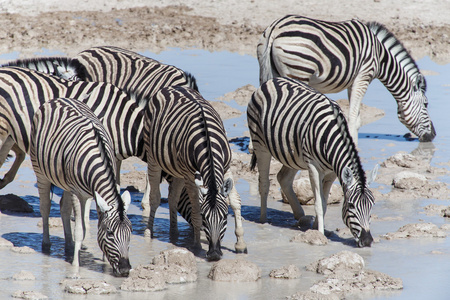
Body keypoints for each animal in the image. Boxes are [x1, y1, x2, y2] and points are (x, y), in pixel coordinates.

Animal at [29, 97, 132, 276]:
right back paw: (47, 244)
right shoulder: (77, 194)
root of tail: (57, 99)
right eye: (110, 233)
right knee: (45, 207)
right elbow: (80, 230)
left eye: (130, 233)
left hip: (64, 181)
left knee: (63, 208)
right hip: (40, 171)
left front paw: (105, 262)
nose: (125, 270)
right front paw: (76, 266)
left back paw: (69, 246)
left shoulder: (95, 195)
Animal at [146, 85, 248, 260]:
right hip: (153, 158)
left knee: (173, 198)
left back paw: (174, 233)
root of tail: (171, 87)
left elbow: (235, 201)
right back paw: (148, 233)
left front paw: (240, 244)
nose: (214, 254)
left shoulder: (226, 167)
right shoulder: (190, 175)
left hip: (178, 169)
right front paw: (197, 246)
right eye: (205, 218)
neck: (208, 143)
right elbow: (194, 211)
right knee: (155, 198)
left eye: (224, 217)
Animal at [248, 77, 378, 246]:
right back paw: (263, 221)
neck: (330, 137)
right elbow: (318, 203)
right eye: (350, 205)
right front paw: (320, 234)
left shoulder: (332, 173)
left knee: (283, 178)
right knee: (264, 183)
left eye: (372, 205)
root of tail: (272, 80)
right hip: (260, 144)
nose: (367, 241)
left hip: (293, 154)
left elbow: (324, 202)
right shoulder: (313, 167)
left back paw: (299, 215)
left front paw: (316, 228)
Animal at [256, 14, 436, 145]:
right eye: (426, 104)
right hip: (298, 73)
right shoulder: (363, 77)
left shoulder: (352, 82)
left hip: (271, 71)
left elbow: (356, 117)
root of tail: (276, 27)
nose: (433, 135)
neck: (380, 56)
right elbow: (353, 116)